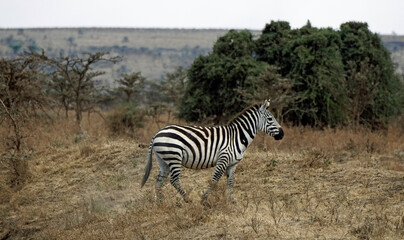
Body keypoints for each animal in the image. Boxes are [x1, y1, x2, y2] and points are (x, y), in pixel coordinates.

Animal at [140, 99, 282, 202]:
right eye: (270, 119)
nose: (282, 134)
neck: (237, 136)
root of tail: (157, 133)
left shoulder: (232, 164)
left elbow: (231, 181)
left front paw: (232, 200)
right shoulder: (223, 158)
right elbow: (214, 180)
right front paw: (204, 199)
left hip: (163, 160)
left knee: (159, 181)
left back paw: (160, 203)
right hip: (174, 156)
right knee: (174, 180)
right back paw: (187, 199)